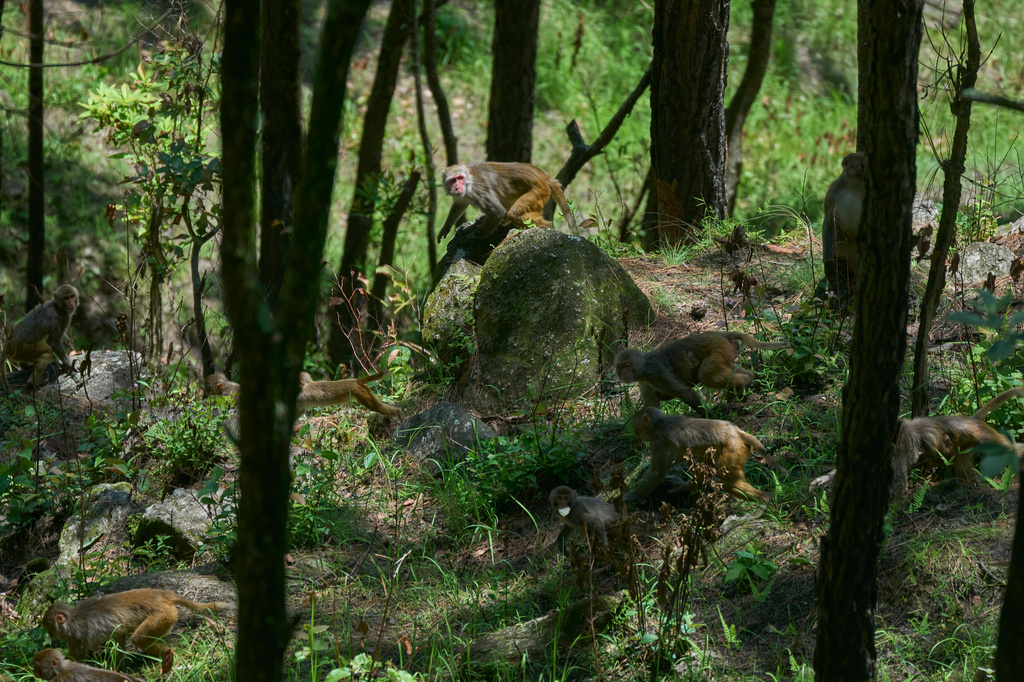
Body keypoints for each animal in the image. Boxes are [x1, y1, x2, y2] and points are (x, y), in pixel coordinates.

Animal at [41, 588, 233, 674]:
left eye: (49, 627)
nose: (51, 635)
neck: (71, 619)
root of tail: (162, 594)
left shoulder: (76, 636)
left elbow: (76, 662)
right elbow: (118, 639)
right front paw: (115, 670)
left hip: (162, 615)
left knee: (138, 638)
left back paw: (170, 656)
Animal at [436, 162, 578, 242]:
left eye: (460, 178)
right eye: (452, 180)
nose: (457, 187)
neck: (469, 180)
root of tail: (545, 177)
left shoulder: (479, 191)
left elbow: (497, 212)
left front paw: (474, 236)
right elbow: (460, 203)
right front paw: (445, 228)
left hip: (539, 190)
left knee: (514, 213)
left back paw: (546, 227)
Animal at [615, 331, 789, 412]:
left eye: (628, 365)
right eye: (620, 366)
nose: (624, 374)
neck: (642, 367)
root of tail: (721, 334)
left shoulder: (654, 372)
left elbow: (683, 391)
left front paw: (708, 414)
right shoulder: (644, 381)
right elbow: (654, 405)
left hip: (718, 348)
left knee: (705, 375)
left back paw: (743, 383)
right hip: (727, 351)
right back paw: (747, 380)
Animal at [625, 406, 773, 503]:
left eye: (635, 426)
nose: (634, 431)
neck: (659, 424)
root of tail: (735, 430)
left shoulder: (657, 440)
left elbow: (657, 472)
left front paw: (632, 495)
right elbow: (677, 457)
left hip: (732, 448)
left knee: (728, 483)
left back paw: (764, 499)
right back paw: (691, 485)